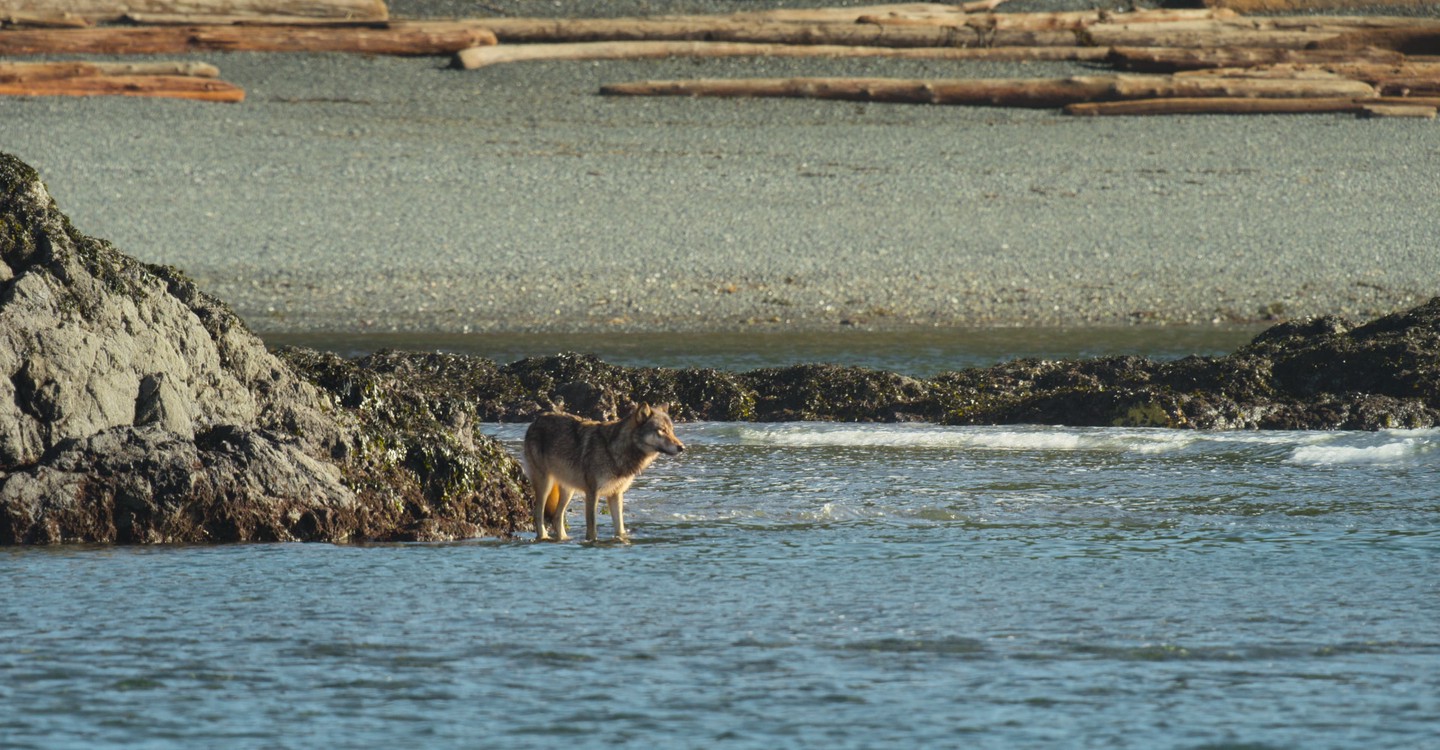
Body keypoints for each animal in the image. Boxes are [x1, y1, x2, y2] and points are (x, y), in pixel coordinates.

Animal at [524, 400, 685, 541]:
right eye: (662, 430)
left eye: (672, 431)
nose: (681, 447)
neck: (614, 451)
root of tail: (535, 422)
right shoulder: (592, 493)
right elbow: (592, 528)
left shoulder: (616, 494)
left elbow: (620, 528)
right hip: (545, 485)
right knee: (538, 513)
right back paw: (544, 537)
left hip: (568, 490)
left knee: (557, 517)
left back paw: (565, 539)